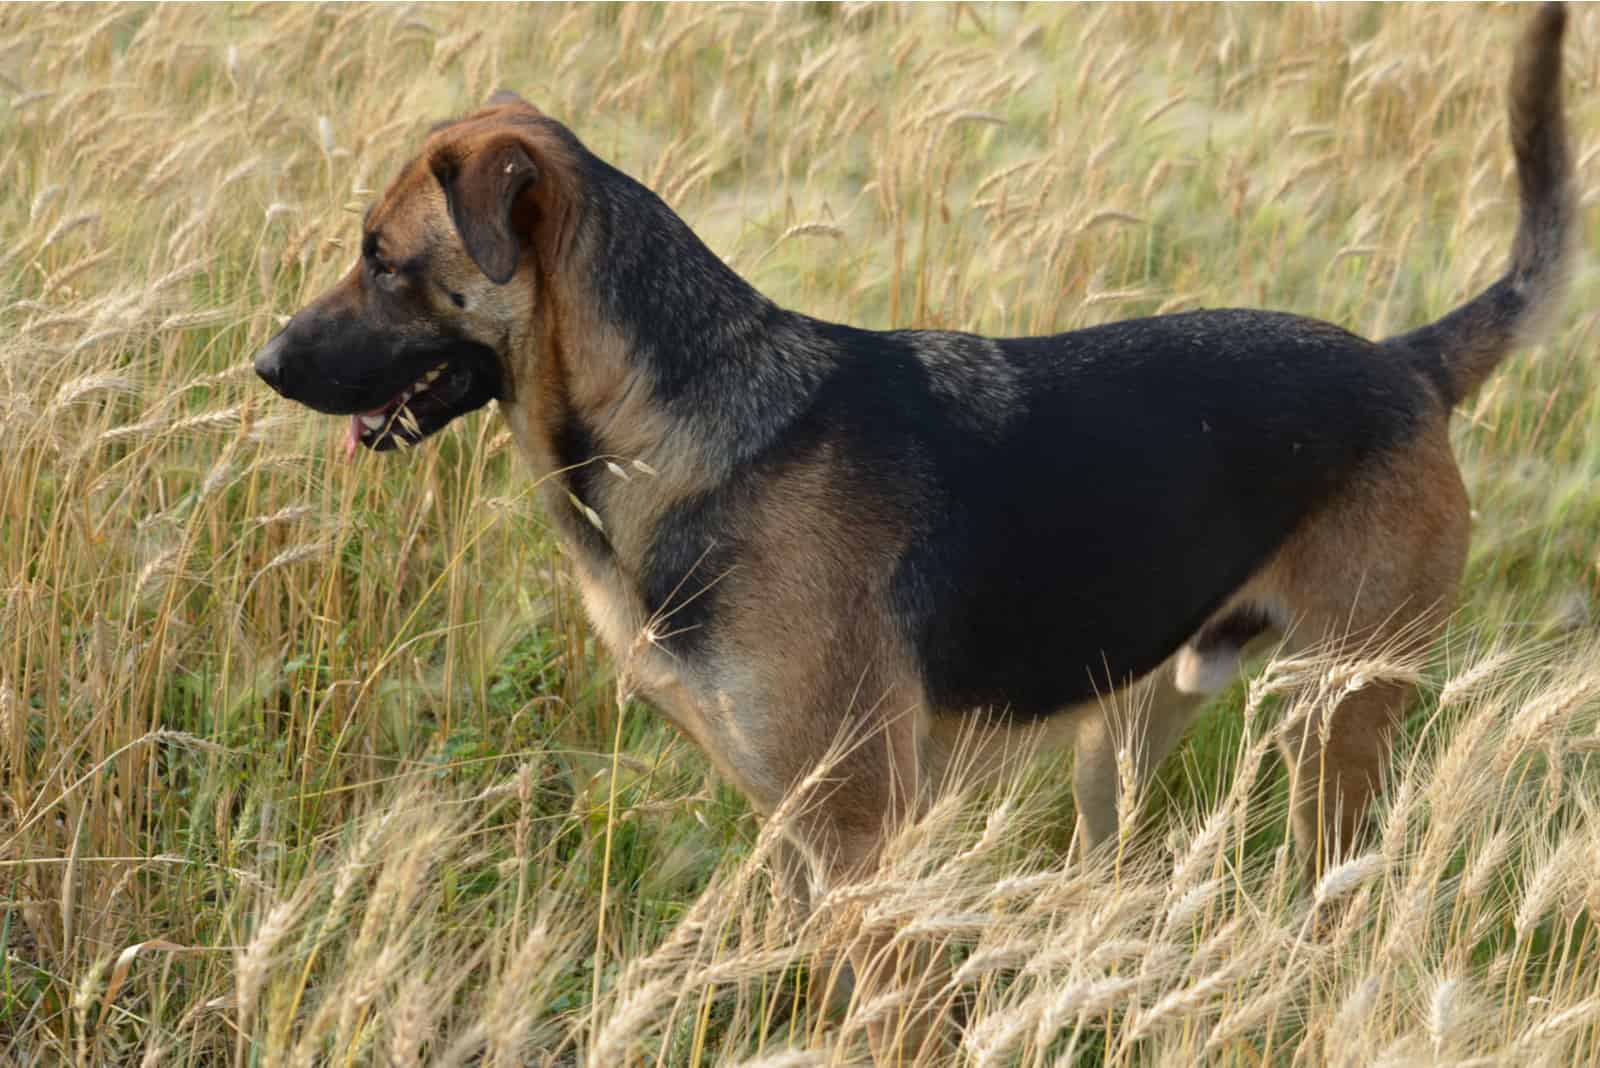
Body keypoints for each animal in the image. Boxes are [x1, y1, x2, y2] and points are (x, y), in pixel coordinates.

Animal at [259, 0, 1574, 1048]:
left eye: (383, 261)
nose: (263, 364)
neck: (676, 420)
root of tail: (1405, 365)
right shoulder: (800, 827)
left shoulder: (856, 831)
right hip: (1130, 733)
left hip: (1330, 724)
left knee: (1339, 892)